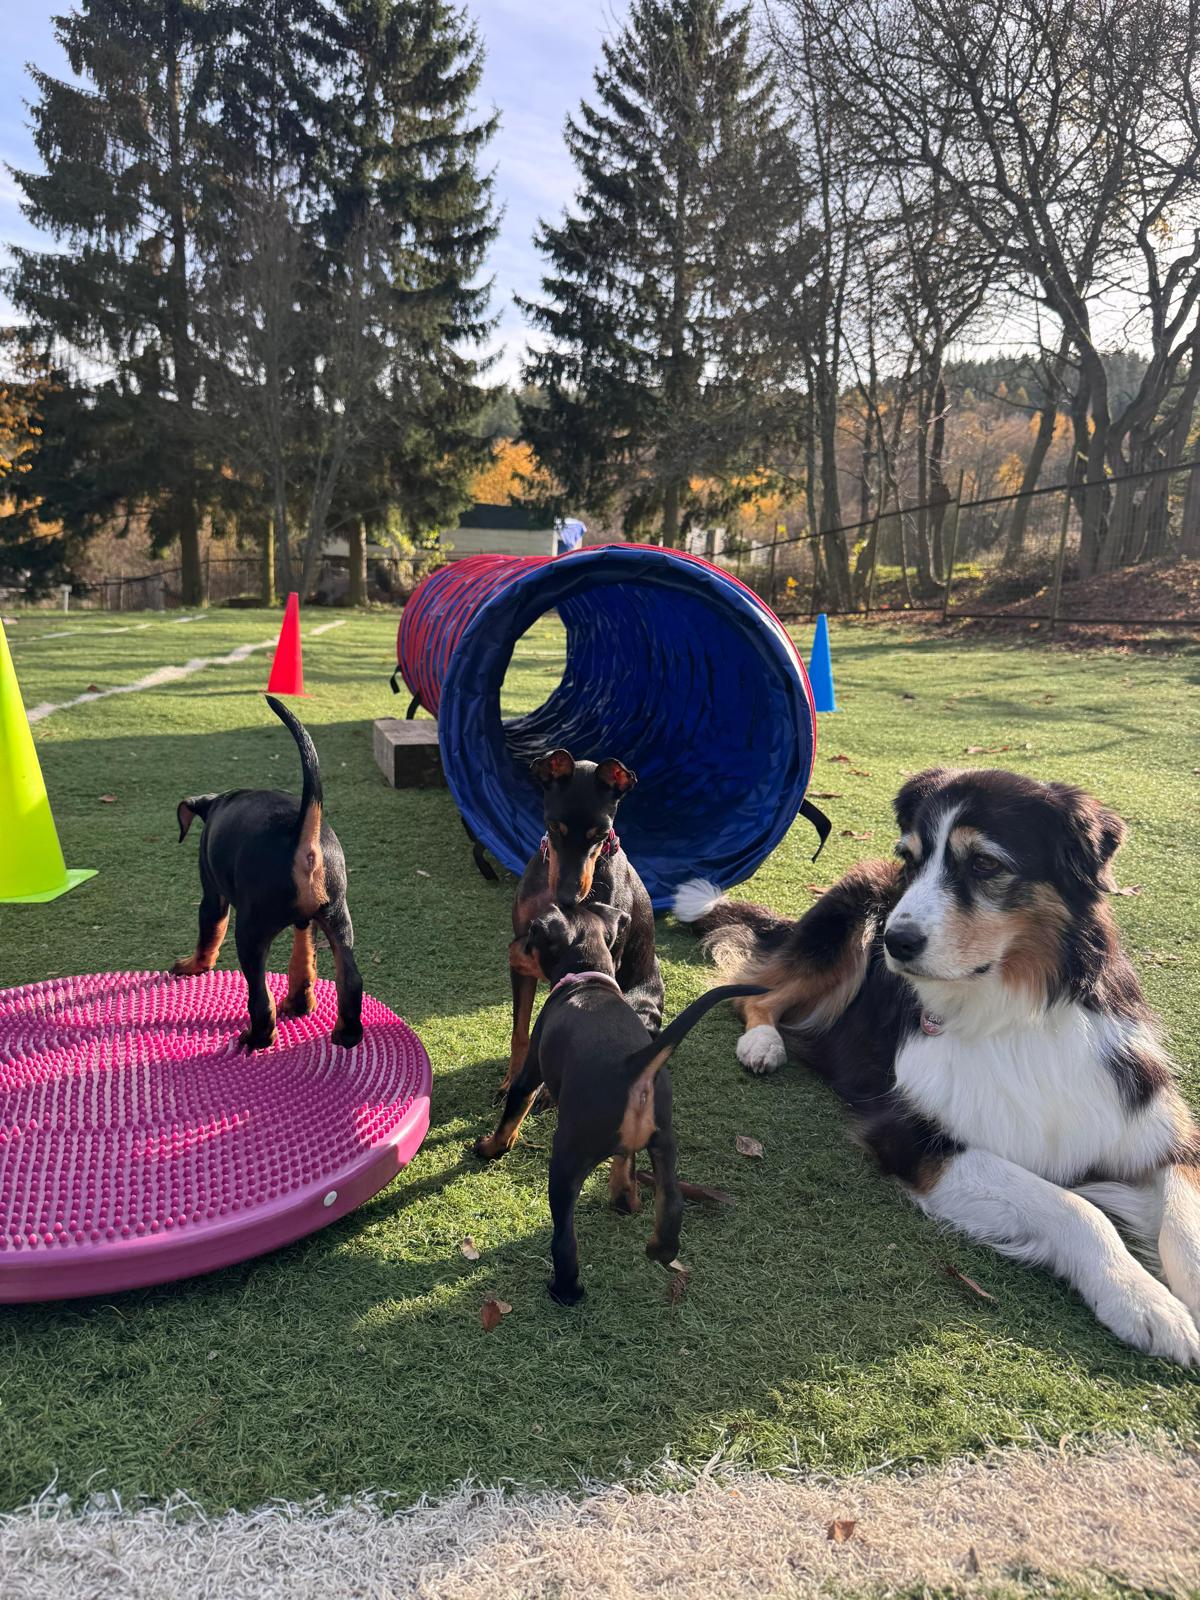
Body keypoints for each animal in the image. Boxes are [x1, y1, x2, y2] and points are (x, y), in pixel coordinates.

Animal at [171, 695, 363, 1053]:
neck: (219, 802)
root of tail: (302, 836)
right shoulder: (307, 921)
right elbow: (304, 957)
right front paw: (301, 1001)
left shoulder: (213, 896)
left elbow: (209, 933)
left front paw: (193, 966)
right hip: (337, 917)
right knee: (350, 980)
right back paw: (344, 1032)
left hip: (251, 932)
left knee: (260, 996)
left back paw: (258, 1038)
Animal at [477, 901, 761, 1304]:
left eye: (531, 933)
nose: (511, 949)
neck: (588, 978)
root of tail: (635, 1062)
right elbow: (624, 1162)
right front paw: (623, 1192)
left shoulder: (531, 1071)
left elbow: (512, 1113)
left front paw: (488, 1148)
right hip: (664, 1142)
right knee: (671, 1203)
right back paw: (651, 1238)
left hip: (567, 1158)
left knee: (565, 1239)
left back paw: (565, 1291)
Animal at [504, 748, 663, 1089]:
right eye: (553, 827)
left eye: (601, 834)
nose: (567, 898)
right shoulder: (521, 955)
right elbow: (520, 1030)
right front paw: (511, 1079)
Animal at [675, 767, 1200, 1364]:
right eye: (911, 857)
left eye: (986, 864)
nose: (894, 942)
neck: (1014, 1011)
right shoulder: (916, 1137)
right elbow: (1071, 1206)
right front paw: (1142, 1299)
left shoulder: (1153, 1130)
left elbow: (1184, 1222)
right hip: (849, 930)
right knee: (754, 994)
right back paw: (762, 1044)